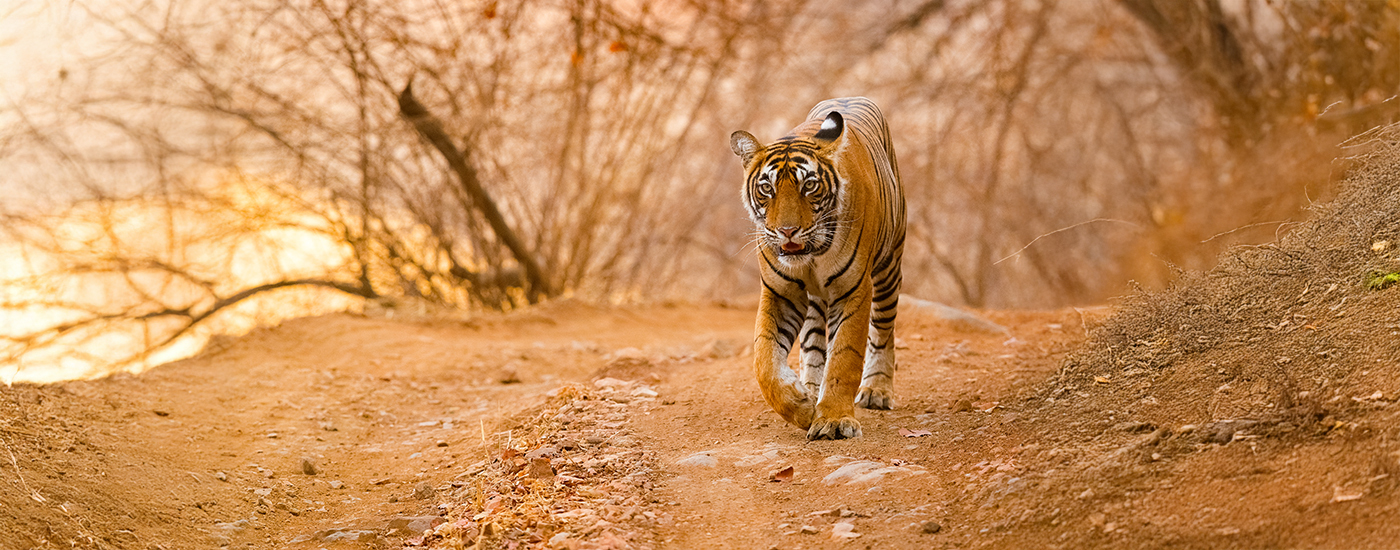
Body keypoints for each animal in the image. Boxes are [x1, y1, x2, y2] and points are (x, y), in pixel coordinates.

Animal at [730, 97, 906, 440]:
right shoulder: (780, 293)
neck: (811, 255)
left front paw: (834, 419)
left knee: (883, 331)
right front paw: (800, 406)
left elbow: (844, 357)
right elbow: (764, 360)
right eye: (767, 189)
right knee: (812, 343)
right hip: (812, 301)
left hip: (889, 269)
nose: (787, 231)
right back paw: (810, 390)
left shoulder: (853, 289)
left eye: (809, 186)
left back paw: (877, 390)